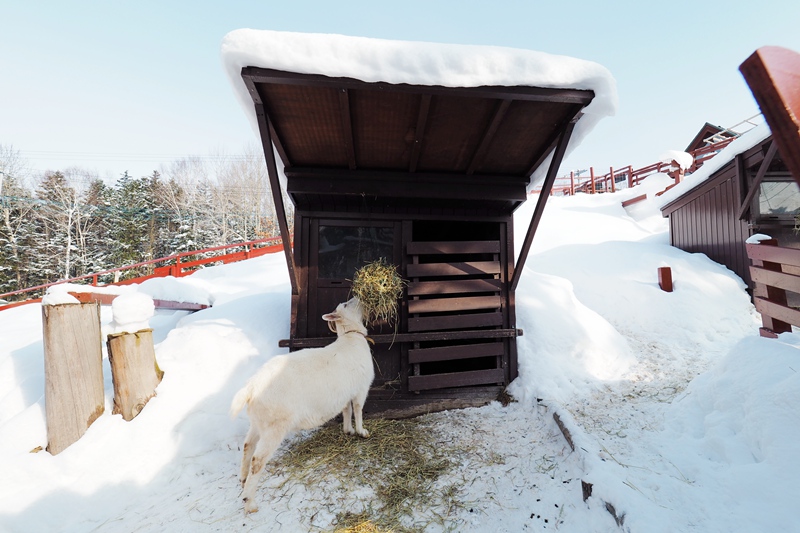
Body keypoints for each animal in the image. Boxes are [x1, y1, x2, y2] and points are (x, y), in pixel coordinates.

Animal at [228, 298, 372, 512]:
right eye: (346, 304)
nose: (359, 298)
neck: (351, 337)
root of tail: (251, 387)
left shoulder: (345, 393)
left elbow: (346, 410)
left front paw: (348, 430)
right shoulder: (361, 388)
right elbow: (358, 409)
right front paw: (362, 432)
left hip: (258, 422)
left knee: (247, 446)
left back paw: (243, 479)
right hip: (275, 427)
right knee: (258, 460)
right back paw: (250, 502)